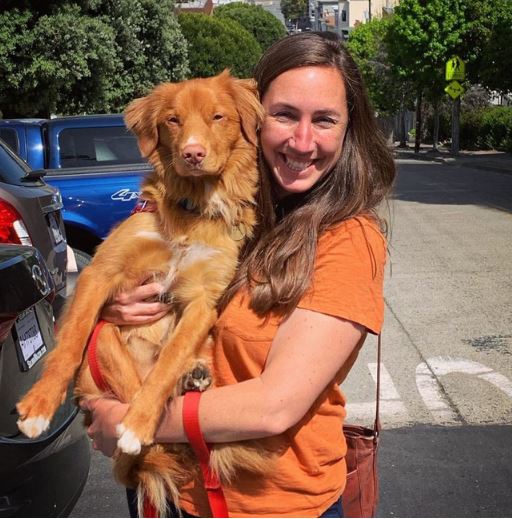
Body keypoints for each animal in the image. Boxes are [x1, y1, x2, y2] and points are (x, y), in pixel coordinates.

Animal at [16, 71, 272, 516]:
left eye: (217, 116)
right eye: (173, 120)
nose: (192, 153)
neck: (193, 208)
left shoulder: (204, 300)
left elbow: (169, 360)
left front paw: (140, 421)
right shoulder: (101, 273)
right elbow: (69, 345)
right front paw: (40, 405)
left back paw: (187, 381)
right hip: (105, 344)